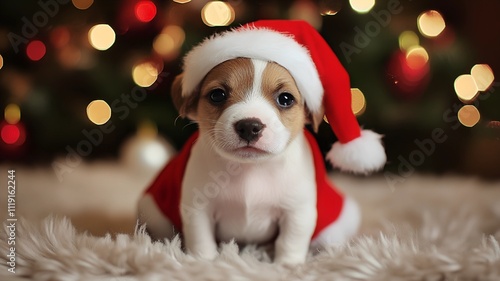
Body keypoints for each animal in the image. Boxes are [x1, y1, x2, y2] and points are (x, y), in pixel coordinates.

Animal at [137, 19, 386, 262]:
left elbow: (290, 242)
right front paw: (203, 263)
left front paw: (288, 266)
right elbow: (202, 242)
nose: (249, 126)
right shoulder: (198, 209)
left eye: (285, 99)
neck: (250, 170)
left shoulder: (297, 212)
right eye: (217, 95)